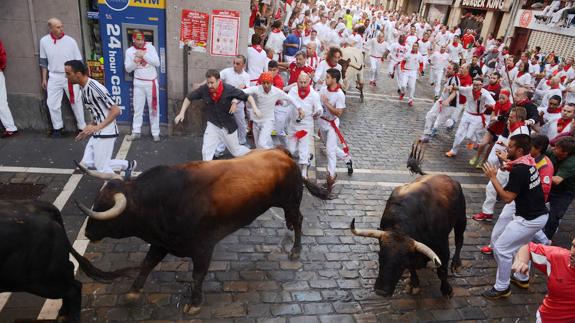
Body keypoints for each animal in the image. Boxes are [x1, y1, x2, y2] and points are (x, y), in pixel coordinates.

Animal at [75, 148, 330, 316]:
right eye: (97, 201)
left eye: (105, 208)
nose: (88, 233)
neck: (159, 200)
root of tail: (282, 153)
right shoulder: (162, 243)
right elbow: (147, 264)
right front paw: (133, 292)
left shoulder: (203, 247)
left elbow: (198, 274)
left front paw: (195, 302)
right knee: (292, 220)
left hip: (291, 201)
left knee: (298, 220)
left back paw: (296, 250)